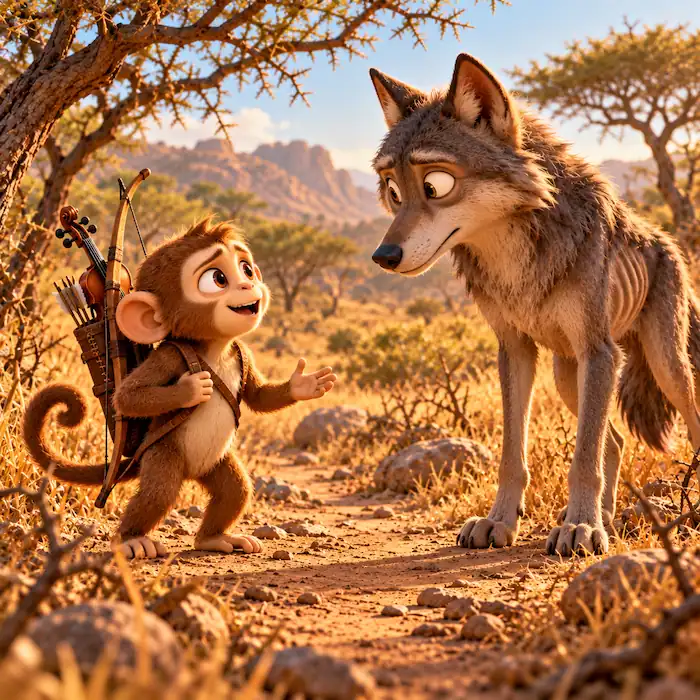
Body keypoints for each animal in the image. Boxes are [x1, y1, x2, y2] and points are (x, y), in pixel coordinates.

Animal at [23, 218, 337, 559]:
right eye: (217, 278)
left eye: (246, 269)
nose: (247, 286)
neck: (215, 348)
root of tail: (191, 471)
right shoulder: (170, 355)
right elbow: (127, 397)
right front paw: (193, 389)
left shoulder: (244, 353)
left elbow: (258, 396)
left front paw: (305, 384)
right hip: (162, 454)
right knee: (159, 493)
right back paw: (132, 540)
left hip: (216, 463)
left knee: (235, 489)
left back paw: (215, 538)